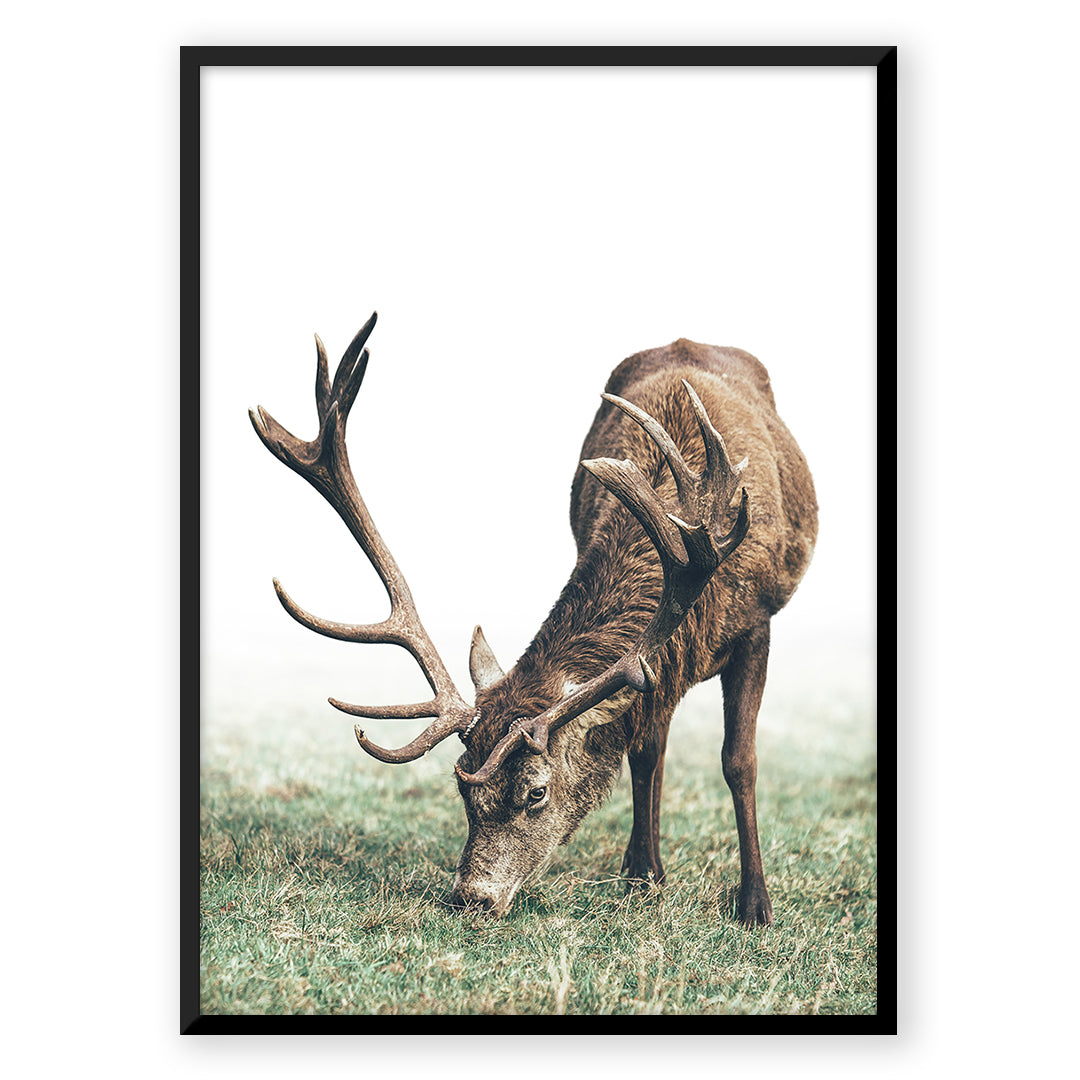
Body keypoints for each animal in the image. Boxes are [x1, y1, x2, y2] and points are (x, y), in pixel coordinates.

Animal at [250, 312, 817, 925]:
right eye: (464, 790)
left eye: (536, 792)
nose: (471, 897)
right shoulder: (655, 667)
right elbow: (644, 748)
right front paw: (642, 875)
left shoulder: (756, 624)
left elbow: (739, 761)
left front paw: (754, 903)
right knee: (650, 747)